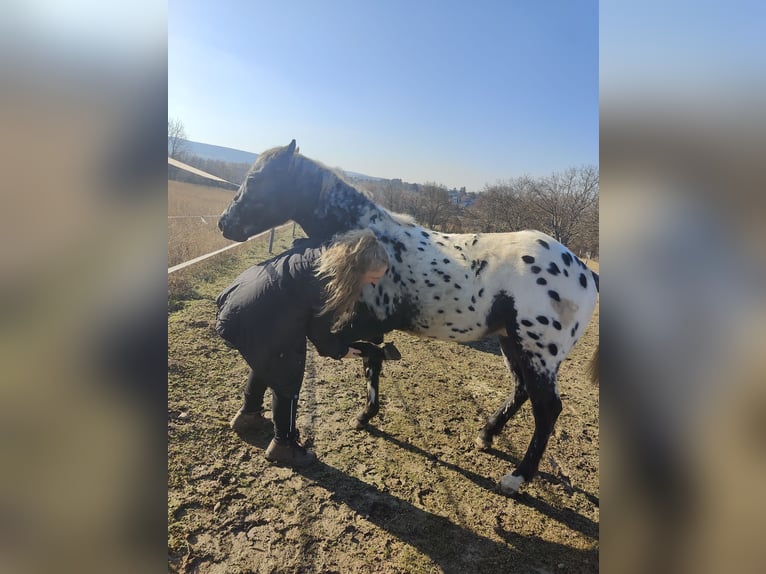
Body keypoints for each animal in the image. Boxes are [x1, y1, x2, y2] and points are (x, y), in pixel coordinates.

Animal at [218, 142, 600, 498]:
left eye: (256, 179)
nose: (224, 223)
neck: (372, 240)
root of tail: (585, 272)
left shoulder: (347, 325)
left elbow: (361, 356)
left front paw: (366, 412)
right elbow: (371, 360)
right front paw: (365, 414)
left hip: (538, 352)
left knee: (547, 410)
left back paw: (515, 478)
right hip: (511, 341)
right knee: (521, 390)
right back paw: (486, 435)